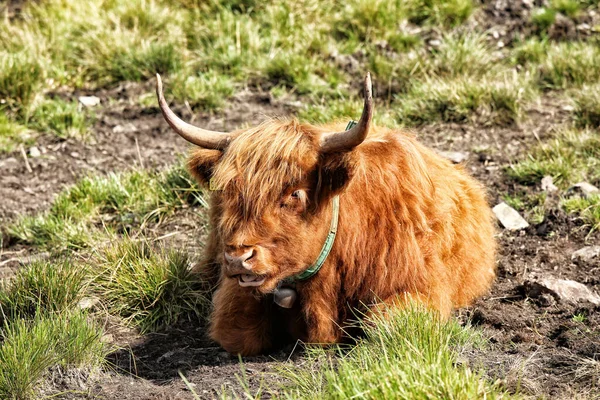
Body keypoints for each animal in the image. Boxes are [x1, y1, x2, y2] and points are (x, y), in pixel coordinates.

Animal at [156, 72, 496, 356]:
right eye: (227, 191)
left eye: (295, 193)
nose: (239, 258)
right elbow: (238, 333)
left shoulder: (422, 290)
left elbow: (379, 325)